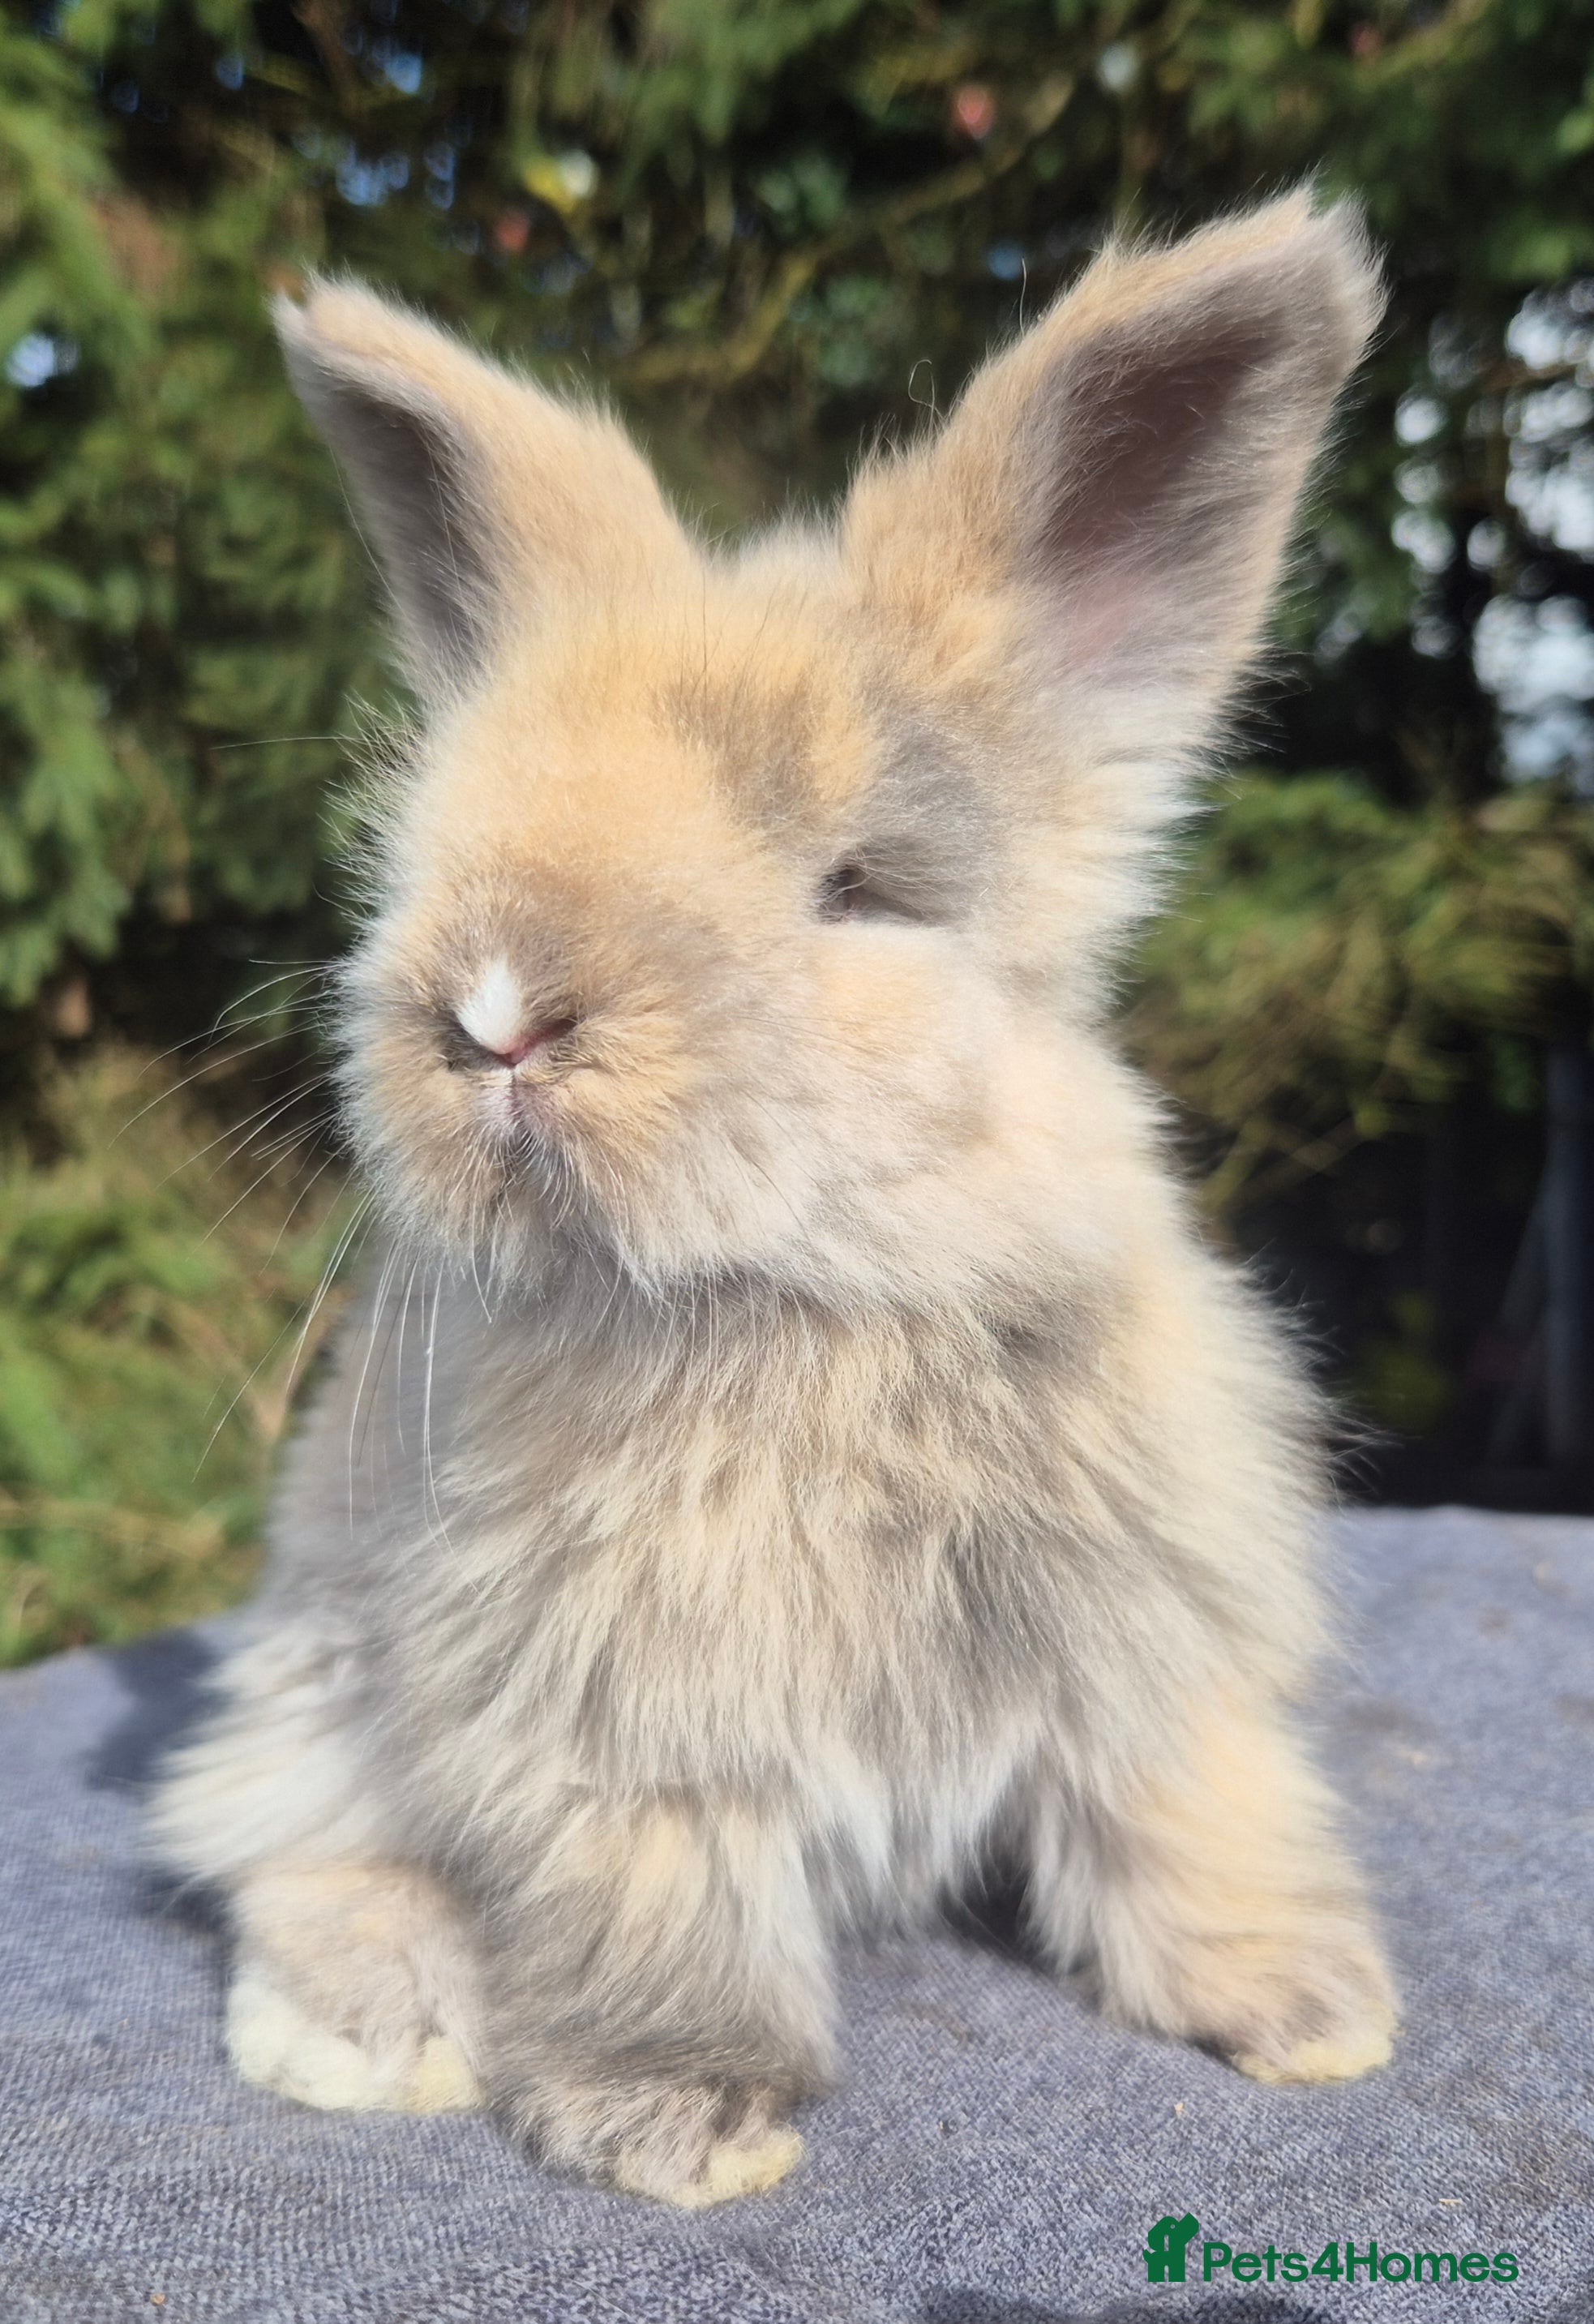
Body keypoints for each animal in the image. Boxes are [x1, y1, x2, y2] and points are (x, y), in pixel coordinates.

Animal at [150, 190, 1397, 2209]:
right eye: (438, 830)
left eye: (859, 885)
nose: (496, 1010)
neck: (821, 1294)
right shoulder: (616, 1726)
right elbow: (658, 1896)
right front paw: (688, 2124)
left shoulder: (1156, 1645)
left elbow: (1185, 1802)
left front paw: (1307, 2010)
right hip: (315, 1669)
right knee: (284, 1840)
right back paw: (371, 2038)